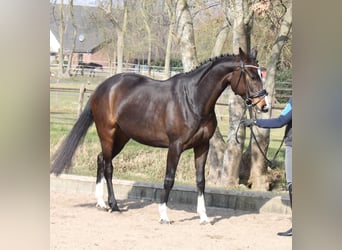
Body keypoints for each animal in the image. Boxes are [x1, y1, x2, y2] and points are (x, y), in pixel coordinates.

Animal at [51, 47, 270, 224]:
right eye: (251, 75)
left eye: (261, 74)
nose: (264, 105)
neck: (193, 99)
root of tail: (103, 87)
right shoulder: (175, 147)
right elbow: (169, 179)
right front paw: (164, 215)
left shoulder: (202, 146)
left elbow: (201, 181)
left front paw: (204, 217)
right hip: (107, 134)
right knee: (108, 166)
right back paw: (113, 205)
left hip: (122, 137)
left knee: (100, 159)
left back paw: (101, 203)